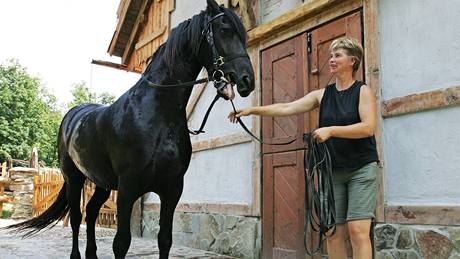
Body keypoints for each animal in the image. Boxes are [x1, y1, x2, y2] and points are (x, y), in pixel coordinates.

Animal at [7, 1, 253, 258]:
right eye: (224, 30)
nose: (247, 80)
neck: (154, 116)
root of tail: (71, 117)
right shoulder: (128, 188)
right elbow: (121, 242)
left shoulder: (172, 190)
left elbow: (165, 239)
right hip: (74, 178)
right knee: (76, 218)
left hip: (102, 183)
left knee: (92, 212)